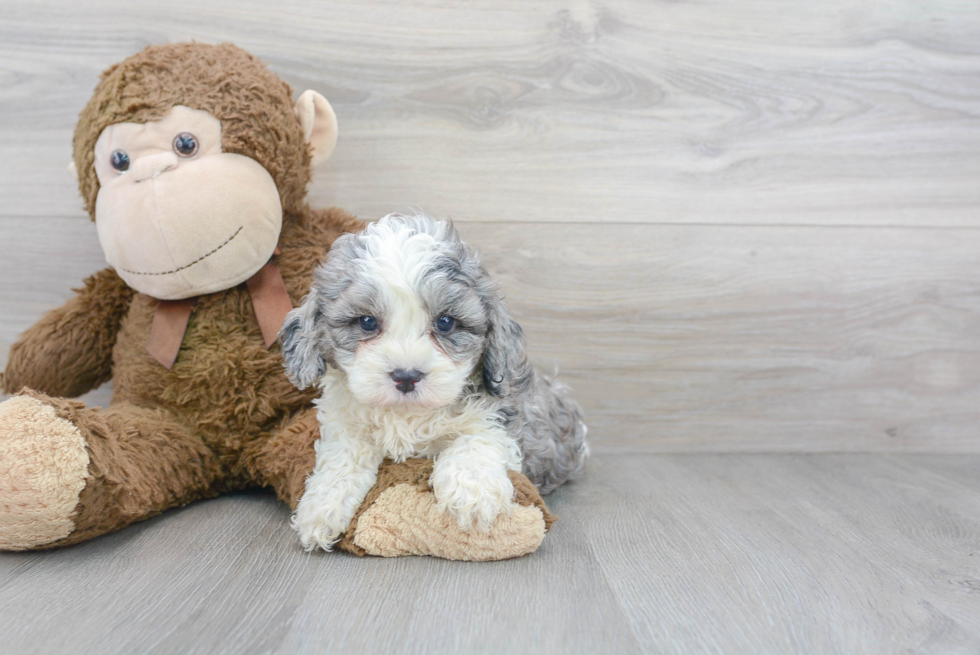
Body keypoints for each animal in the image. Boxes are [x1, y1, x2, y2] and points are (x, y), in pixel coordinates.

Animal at [282, 213, 588, 552]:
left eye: (445, 322)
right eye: (367, 322)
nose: (406, 376)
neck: (407, 415)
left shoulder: (501, 413)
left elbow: (476, 440)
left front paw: (473, 491)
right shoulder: (344, 422)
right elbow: (343, 458)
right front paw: (322, 507)